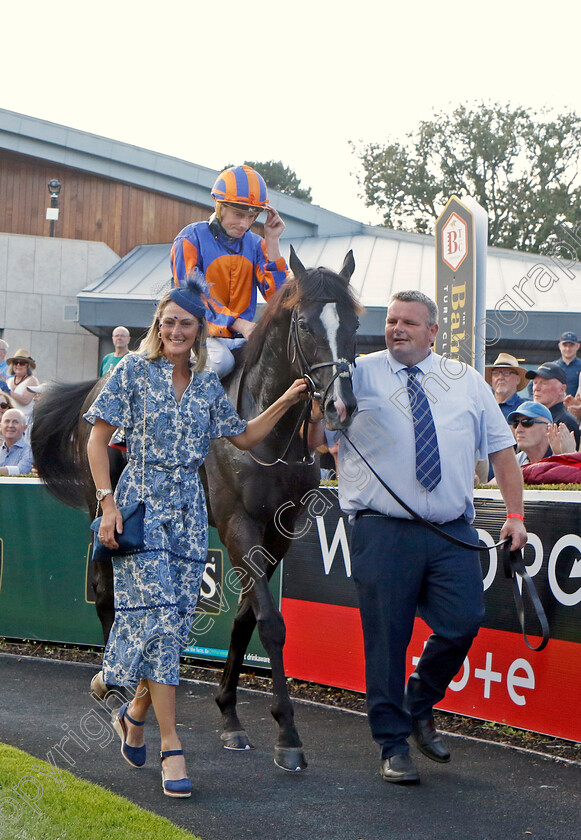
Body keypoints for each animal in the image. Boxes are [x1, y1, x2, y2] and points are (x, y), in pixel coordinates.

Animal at [31, 246, 360, 772]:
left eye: (354, 323)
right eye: (305, 324)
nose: (340, 407)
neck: (266, 431)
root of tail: (96, 388)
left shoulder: (280, 531)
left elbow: (247, 616)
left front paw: (230, 714)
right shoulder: (237, 524)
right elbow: (271, 623)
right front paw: (287, 734)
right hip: (105, 511)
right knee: (106, 591)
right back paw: (115, 681)